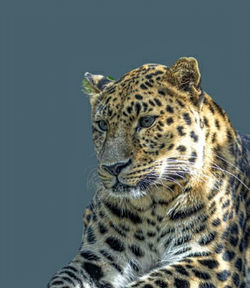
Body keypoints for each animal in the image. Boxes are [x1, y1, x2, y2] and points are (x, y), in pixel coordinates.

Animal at [47, 57, 250, 286]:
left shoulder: (213, 259)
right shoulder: (98, 256)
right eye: (102, 125)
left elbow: (154, 281)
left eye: (146, 121)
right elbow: (63, 278)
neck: (155, 207)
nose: (112, 167)